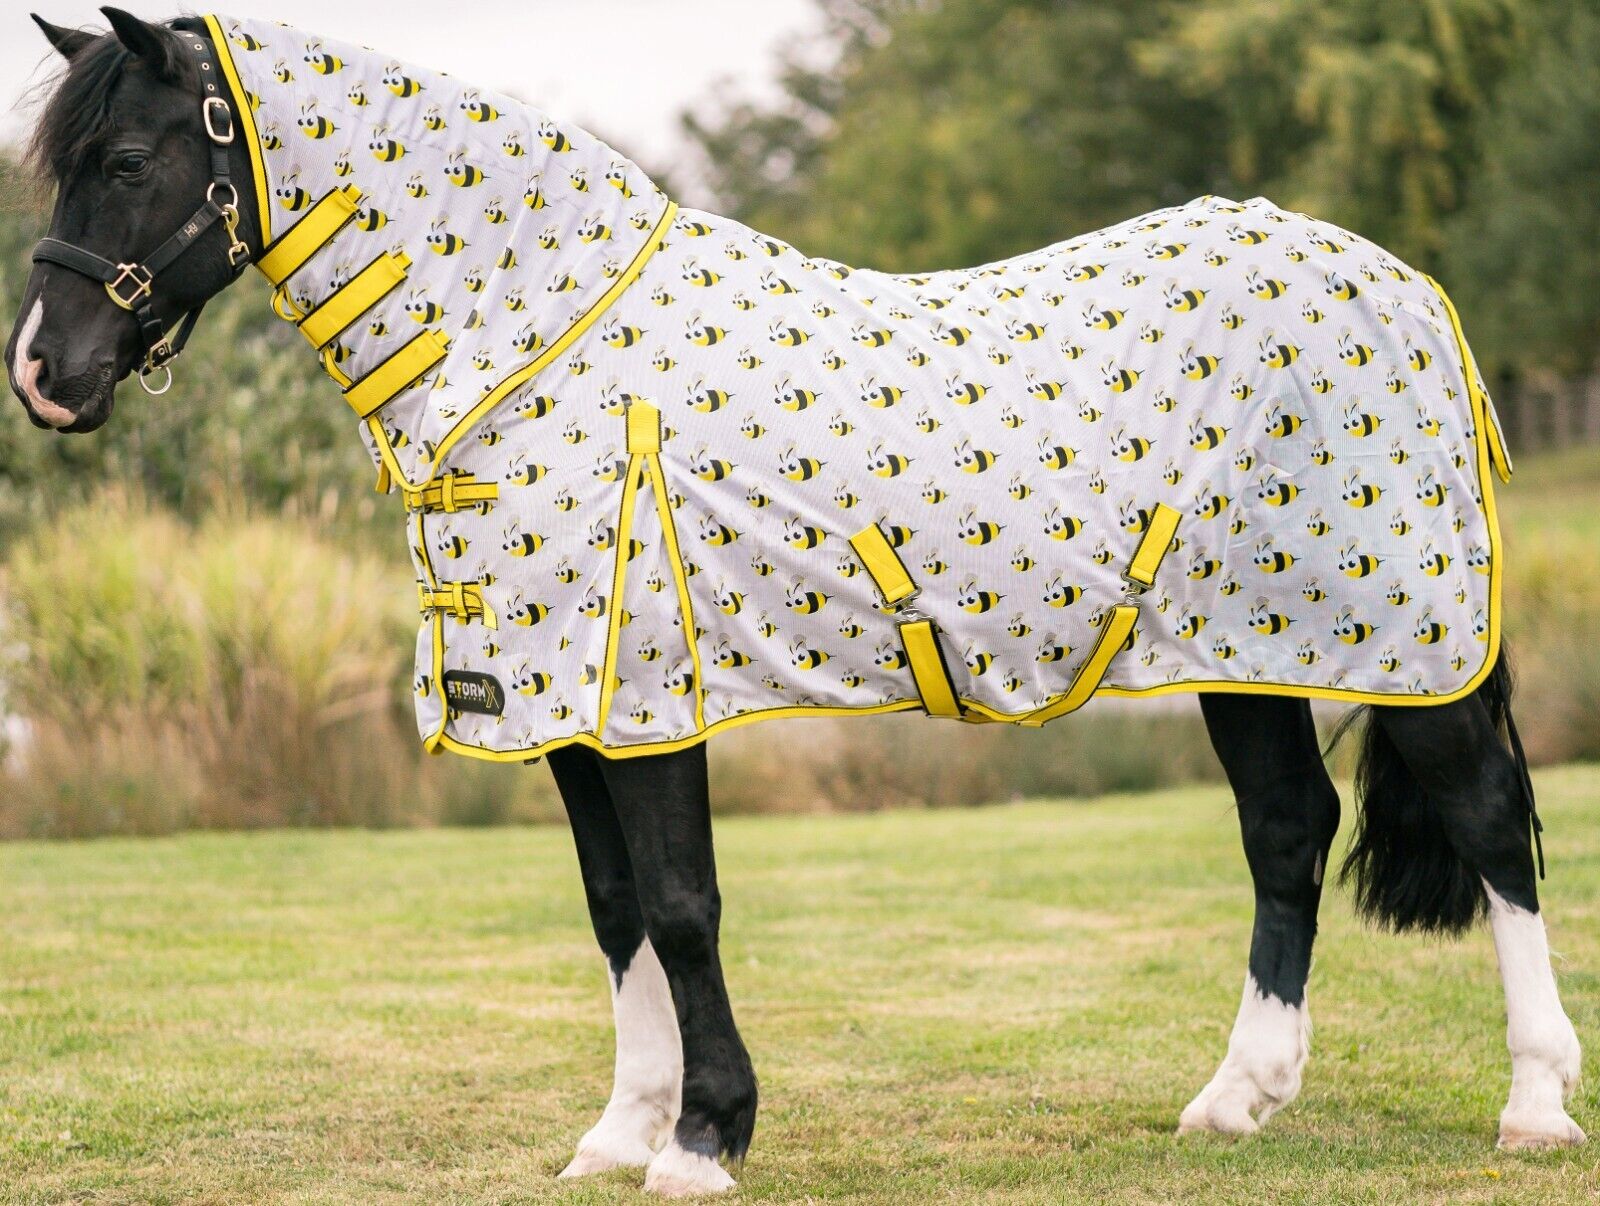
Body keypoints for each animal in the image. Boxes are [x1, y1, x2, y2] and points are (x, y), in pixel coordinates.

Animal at [5, 9, 1582, 1197]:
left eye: (130, 158)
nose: (45, 374)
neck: (548, 347)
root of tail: (1404, 284)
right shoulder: (567, 708)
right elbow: (613, 911)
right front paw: (620, 1132)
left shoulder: (649, 697)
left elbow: (682, 906)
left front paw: (704, 1142)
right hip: (1241, 650)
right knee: (1287, 829)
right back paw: (1236, 1099)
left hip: (1412, 643)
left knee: (1490, 820)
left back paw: (1534, 1107)